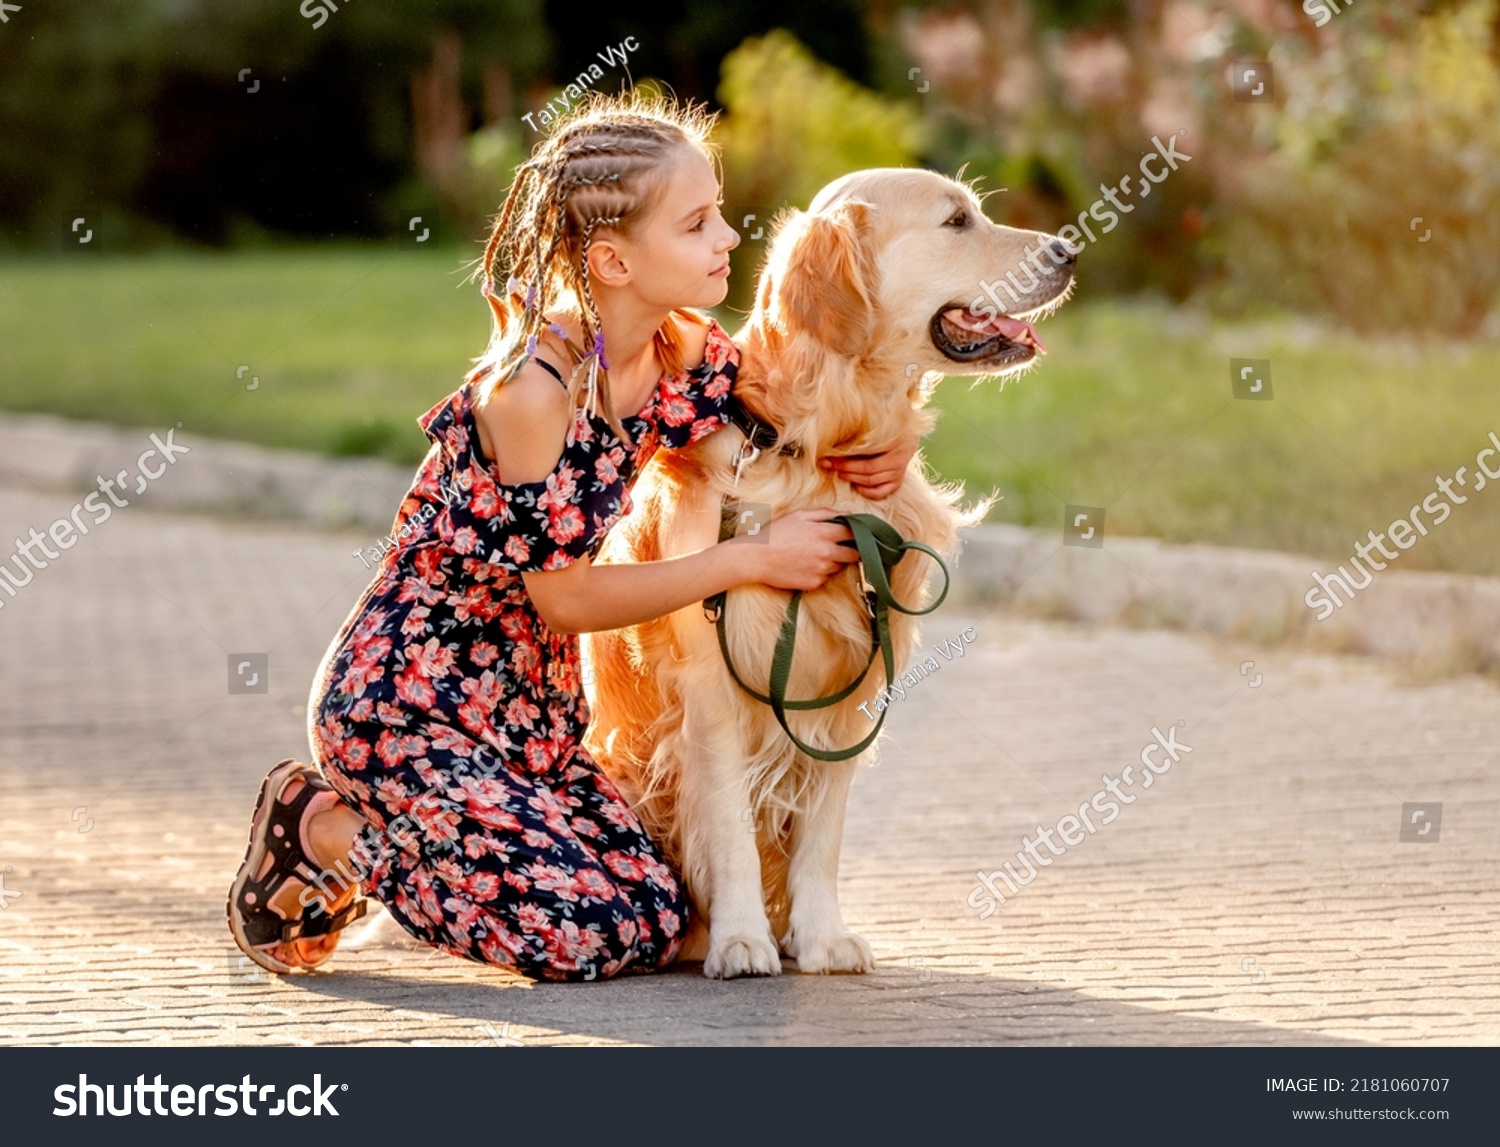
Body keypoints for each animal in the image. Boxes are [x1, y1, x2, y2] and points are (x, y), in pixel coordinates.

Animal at [579, 167, 1074, 977]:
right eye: (956, 221)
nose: (1070, 251)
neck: (814, 448)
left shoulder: (855, 682)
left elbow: (822, 831)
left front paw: (820, 936)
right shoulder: (711, 684)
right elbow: (729, 825)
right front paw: (741, 937)